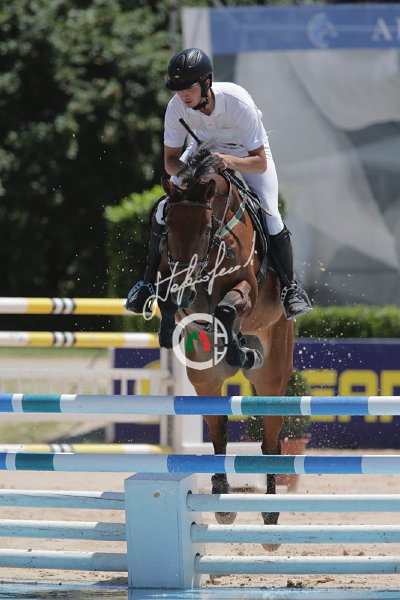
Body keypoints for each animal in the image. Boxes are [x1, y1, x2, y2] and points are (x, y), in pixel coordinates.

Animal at [155, 143, 294, 544]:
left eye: (204, 228)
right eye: (168, 228)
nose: (184, 286)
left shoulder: (245, 287)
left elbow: (228, 307)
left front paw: (237, 348)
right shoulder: (170, 274)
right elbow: (170, 299)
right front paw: (168, 322)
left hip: (273, 378)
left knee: (270, 441)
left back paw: (270, 514)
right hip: (204, 380)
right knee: (218, 432)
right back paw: (222, 500)